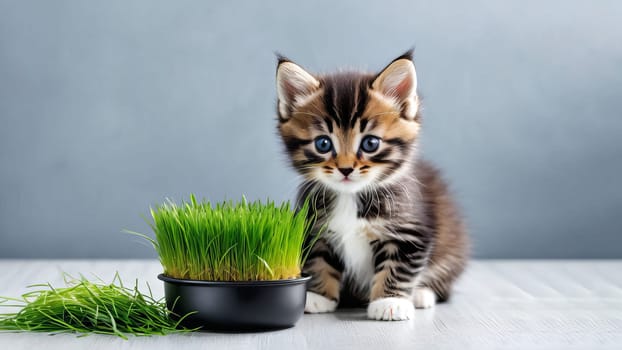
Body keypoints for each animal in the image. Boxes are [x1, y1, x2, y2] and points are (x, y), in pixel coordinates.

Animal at [276, 50, 468, 322]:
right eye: (323, 144)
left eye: (370, 143)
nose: (346, 169)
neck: (351, 196)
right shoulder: (314, 227)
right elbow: (319, 259)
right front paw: (318, 296)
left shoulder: (409, 232)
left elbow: (397, 268)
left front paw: (390, 302)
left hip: (452, 246)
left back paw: (422, 294)